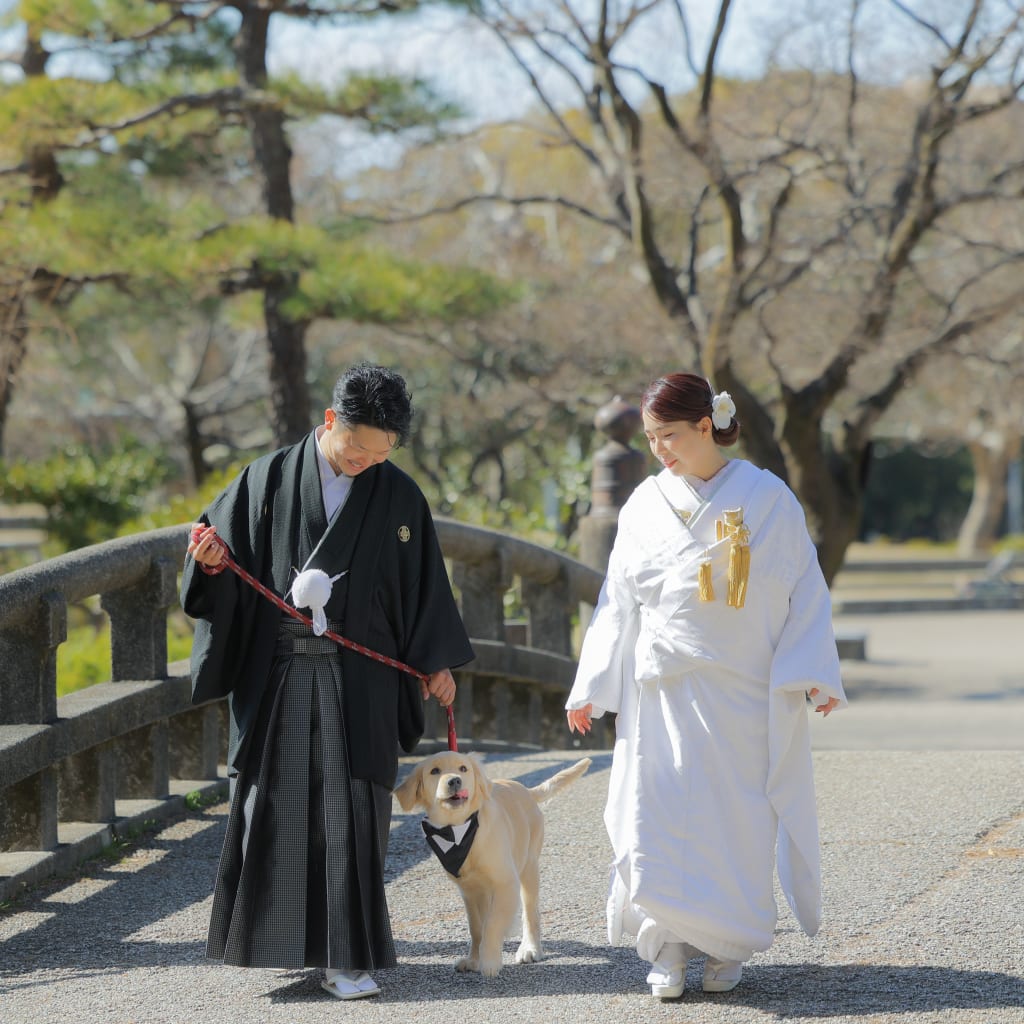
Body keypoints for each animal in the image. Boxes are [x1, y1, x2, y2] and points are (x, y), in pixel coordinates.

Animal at [393, 753, 593, 974]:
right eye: (434, 771)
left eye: (463, 768)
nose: (454, 781)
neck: (459, 831)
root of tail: (525, 790)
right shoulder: (469, 891)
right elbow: (476, 928)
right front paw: (473, 960)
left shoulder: (505, 882)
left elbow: (493, 923)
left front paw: (489, 961)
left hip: (529, 868)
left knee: (530, 913)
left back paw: (530, 949)